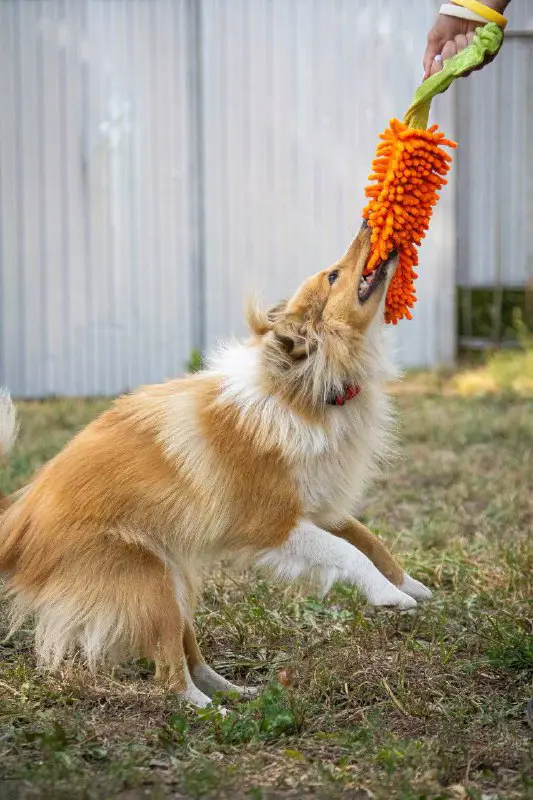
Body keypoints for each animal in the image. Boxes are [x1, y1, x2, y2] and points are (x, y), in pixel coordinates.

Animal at [0, 223, 430, 708]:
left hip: (174, 583)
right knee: (170, 678)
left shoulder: (314, 504)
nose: (367, 226)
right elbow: (345, 552)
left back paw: (238, 692)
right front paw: (387, 596)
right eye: (334, 276)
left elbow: (367, 538)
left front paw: (410, 583)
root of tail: (14, 524)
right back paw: (214, 713)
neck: (300, 390)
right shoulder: (274, 525)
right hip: (148, 578)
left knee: (187, 656)